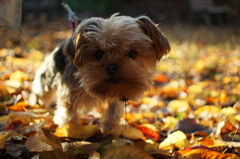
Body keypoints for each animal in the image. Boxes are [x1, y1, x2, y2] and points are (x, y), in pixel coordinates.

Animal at [31, 13, 171, 133]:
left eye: (132, 54)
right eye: (98, 54)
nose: (112, 67)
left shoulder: (117, 97)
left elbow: (113, 111)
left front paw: (109, 128)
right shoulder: (69, 94)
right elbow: (69, 113)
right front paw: (70, 131)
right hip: (47, 76)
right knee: (40, 91)